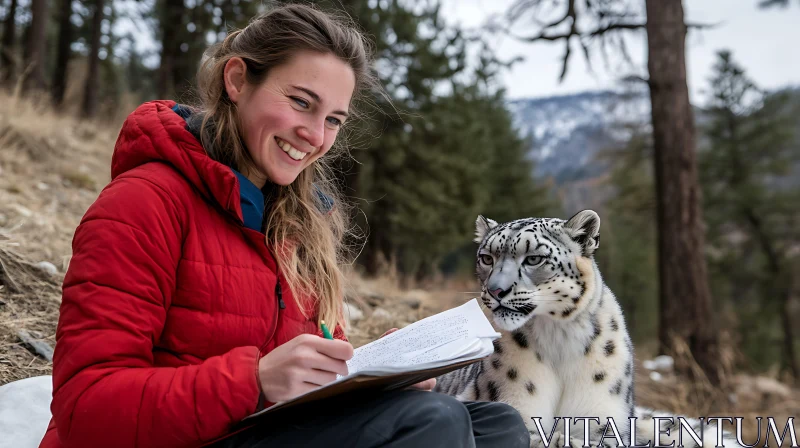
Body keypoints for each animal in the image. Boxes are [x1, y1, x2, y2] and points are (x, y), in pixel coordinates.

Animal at [438, 211, 732, 448]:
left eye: (533, 259)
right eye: (487, 258)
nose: (496, 291)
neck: (558, 337)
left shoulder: (601, 416)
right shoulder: (515, 403)